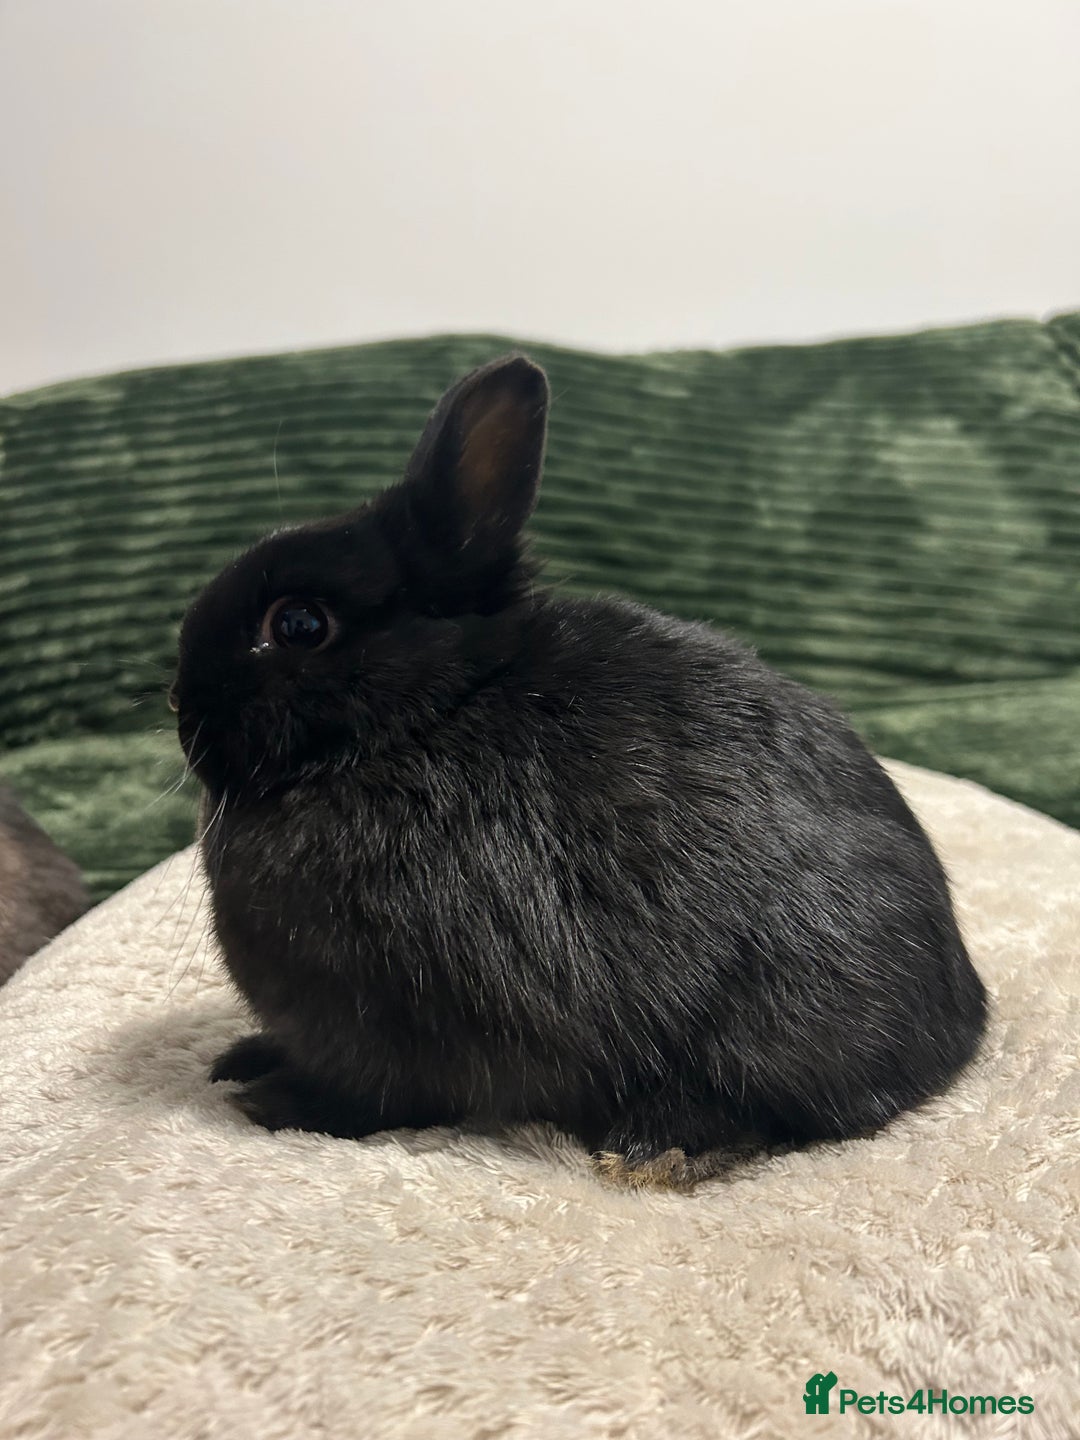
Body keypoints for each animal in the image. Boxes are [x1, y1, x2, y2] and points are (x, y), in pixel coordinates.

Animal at [171, 353, 986, 1189]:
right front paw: (242, 1059)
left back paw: (651, 1150)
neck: (424, 718)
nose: (179, 705)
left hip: (771, 1025)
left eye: (298, 624)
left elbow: (372, 1098)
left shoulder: (387, 1026)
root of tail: (961, 1028)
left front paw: (271, 1102)